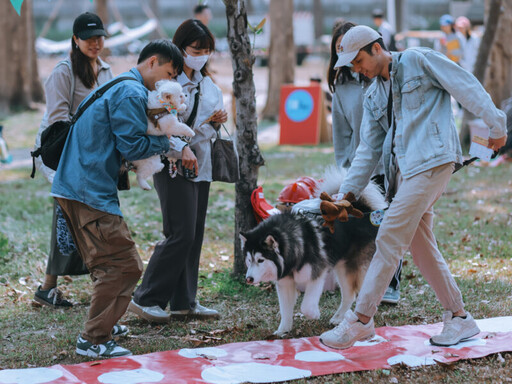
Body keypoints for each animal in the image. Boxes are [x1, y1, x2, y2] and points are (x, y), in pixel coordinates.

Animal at [240, 168, 384, 336]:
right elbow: (285, 310)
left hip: (354, 267)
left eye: (260, 260)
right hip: (341, 267)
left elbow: (306, 306)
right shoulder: (285, 282)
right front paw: (283, 330)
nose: (249, 279)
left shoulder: (317, 274)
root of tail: (364, 211)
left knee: (359, 293)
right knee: (349, 295)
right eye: (249, 260)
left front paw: (314, 314)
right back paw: (338, 318)